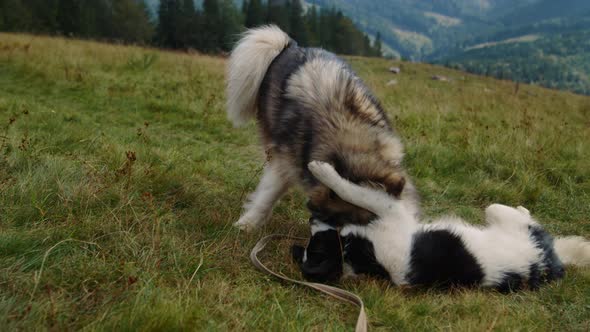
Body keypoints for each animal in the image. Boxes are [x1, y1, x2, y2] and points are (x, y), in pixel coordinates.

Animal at [294, 162, 590, 292]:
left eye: (314, 240)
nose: (310, 220)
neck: (362, 254)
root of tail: (550, 261)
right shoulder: (392, 211)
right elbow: (354, 189)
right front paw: (322, 170)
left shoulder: (391, 211)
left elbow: (352, 190)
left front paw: (322, 171)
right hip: (500, 214)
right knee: (525, 218)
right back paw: (523, 209)